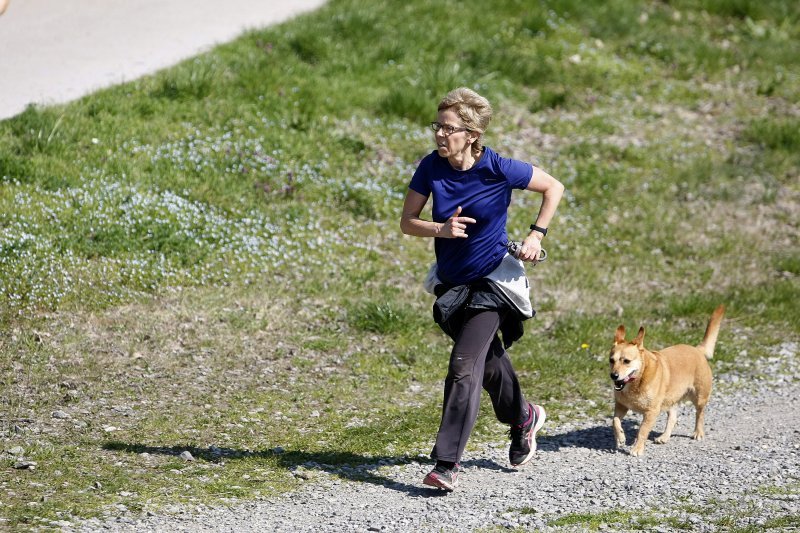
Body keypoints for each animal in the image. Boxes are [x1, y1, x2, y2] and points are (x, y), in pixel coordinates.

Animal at [608, 306, 728, 456]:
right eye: (611, 360)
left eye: (626, 361)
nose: (613, 376)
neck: (636, 382)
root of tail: (697, 350)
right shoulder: (621, 406)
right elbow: (615, 421)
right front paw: (620, 437)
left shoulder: (651, 412)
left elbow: (642, 431)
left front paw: (637, 448)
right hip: (670, 399)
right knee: (673, 417)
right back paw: (664, 437)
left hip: (699, 397)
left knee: (700, 414)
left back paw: (698, 432)